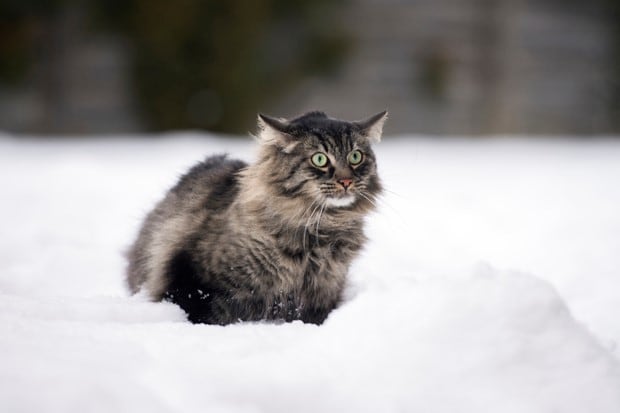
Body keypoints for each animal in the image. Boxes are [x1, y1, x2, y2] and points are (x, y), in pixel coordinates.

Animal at [126, 110, 388, 326]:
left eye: (356, 157)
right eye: (320, 159)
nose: (346, 181)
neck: (317, 233)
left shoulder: (321, 297)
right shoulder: (191, 282)